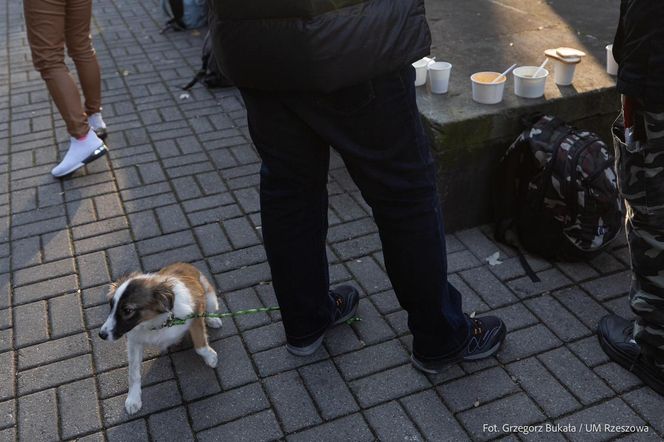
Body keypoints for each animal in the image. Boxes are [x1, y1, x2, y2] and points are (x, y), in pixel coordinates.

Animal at [98, 262, 222, 414]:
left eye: (127, 310)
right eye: (111, 305)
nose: (101, 335)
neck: (155, 322)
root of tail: (185, 264)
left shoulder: (196, 313)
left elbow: (200, 345)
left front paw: (210, 357)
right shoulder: (134, 341)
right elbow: (133, 372)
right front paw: (133, 399)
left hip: (210, 298)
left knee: (210, 310)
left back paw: (212, 320)